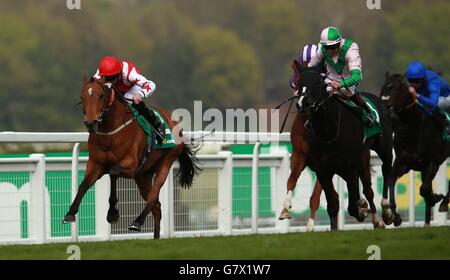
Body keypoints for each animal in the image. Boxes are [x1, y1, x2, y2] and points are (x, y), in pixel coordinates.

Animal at [63, 76, 202, 238]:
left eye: (101, 95)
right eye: (82, 97)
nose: (90, 123)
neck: (110, 132)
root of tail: (173, 122)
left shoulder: (131, 165)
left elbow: (113, 172)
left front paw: (112, 214)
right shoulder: (95, 164)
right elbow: (84, 185)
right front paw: (70, 213)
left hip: (166, 163)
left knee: (153, 197)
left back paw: (137, 222)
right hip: (143, 175)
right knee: (157, 206)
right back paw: (155, 237)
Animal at [292, 63, 394, 230]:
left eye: (317, 82)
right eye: (299, 83)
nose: (303, 104)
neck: (329, 131)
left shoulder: (349, 167)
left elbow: (352, 205)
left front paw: (362, 210)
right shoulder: (323, 170)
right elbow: (333, 204)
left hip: (383, 149)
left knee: (383, 174)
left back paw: (385, 213)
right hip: (361, 158)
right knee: (366, 188)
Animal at [382, 72, 448, 225]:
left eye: (397, 89)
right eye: (384, 88)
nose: (386, 104)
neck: (412, 127)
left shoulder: (430, 162)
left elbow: (424, 188)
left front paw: (436, 198)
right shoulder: (403, 162)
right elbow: (391, 180)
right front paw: (396, 216)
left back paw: (443, 203)